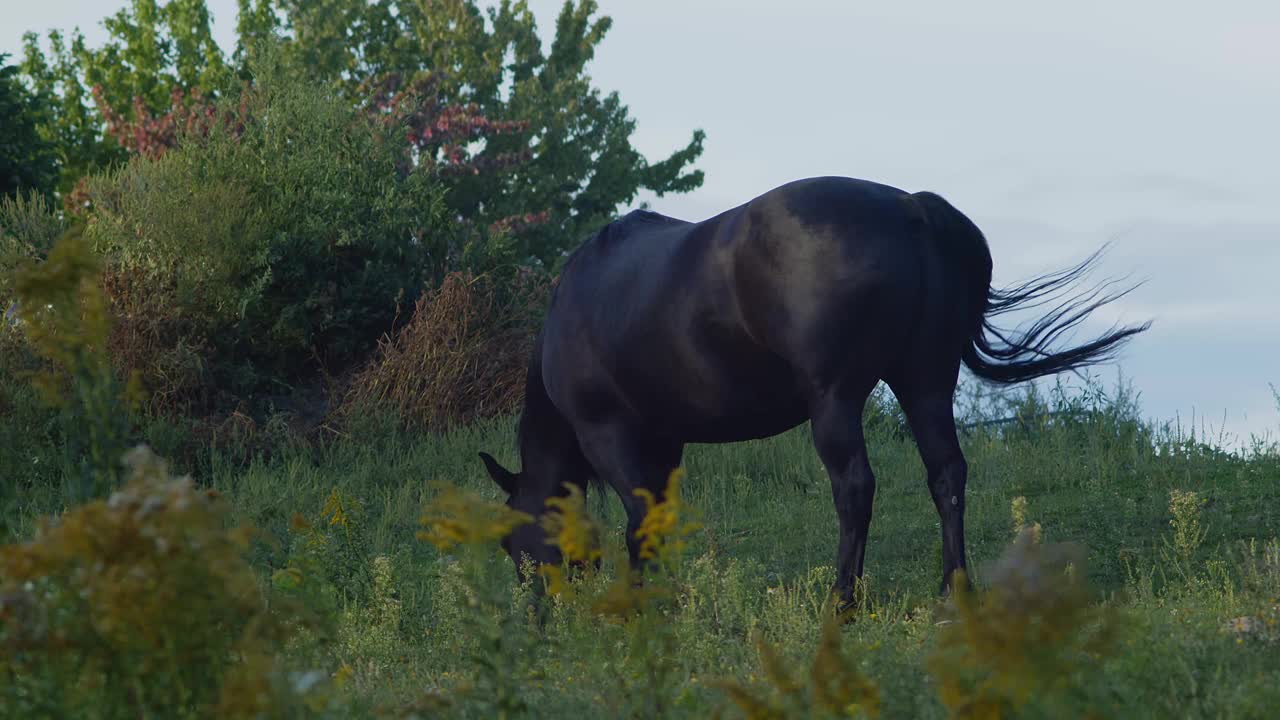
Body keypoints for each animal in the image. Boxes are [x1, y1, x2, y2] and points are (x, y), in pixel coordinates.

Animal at [478, 175, 1152, 599]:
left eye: (514, 543)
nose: (539, 610)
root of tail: (911, 208)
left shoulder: (609, 435)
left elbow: (638, 522)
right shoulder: (666, 442)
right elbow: (657, 519)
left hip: (835, 402)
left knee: (854, 490)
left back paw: (842, 600)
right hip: (926, 385)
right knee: (947, 476)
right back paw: (952, 590)